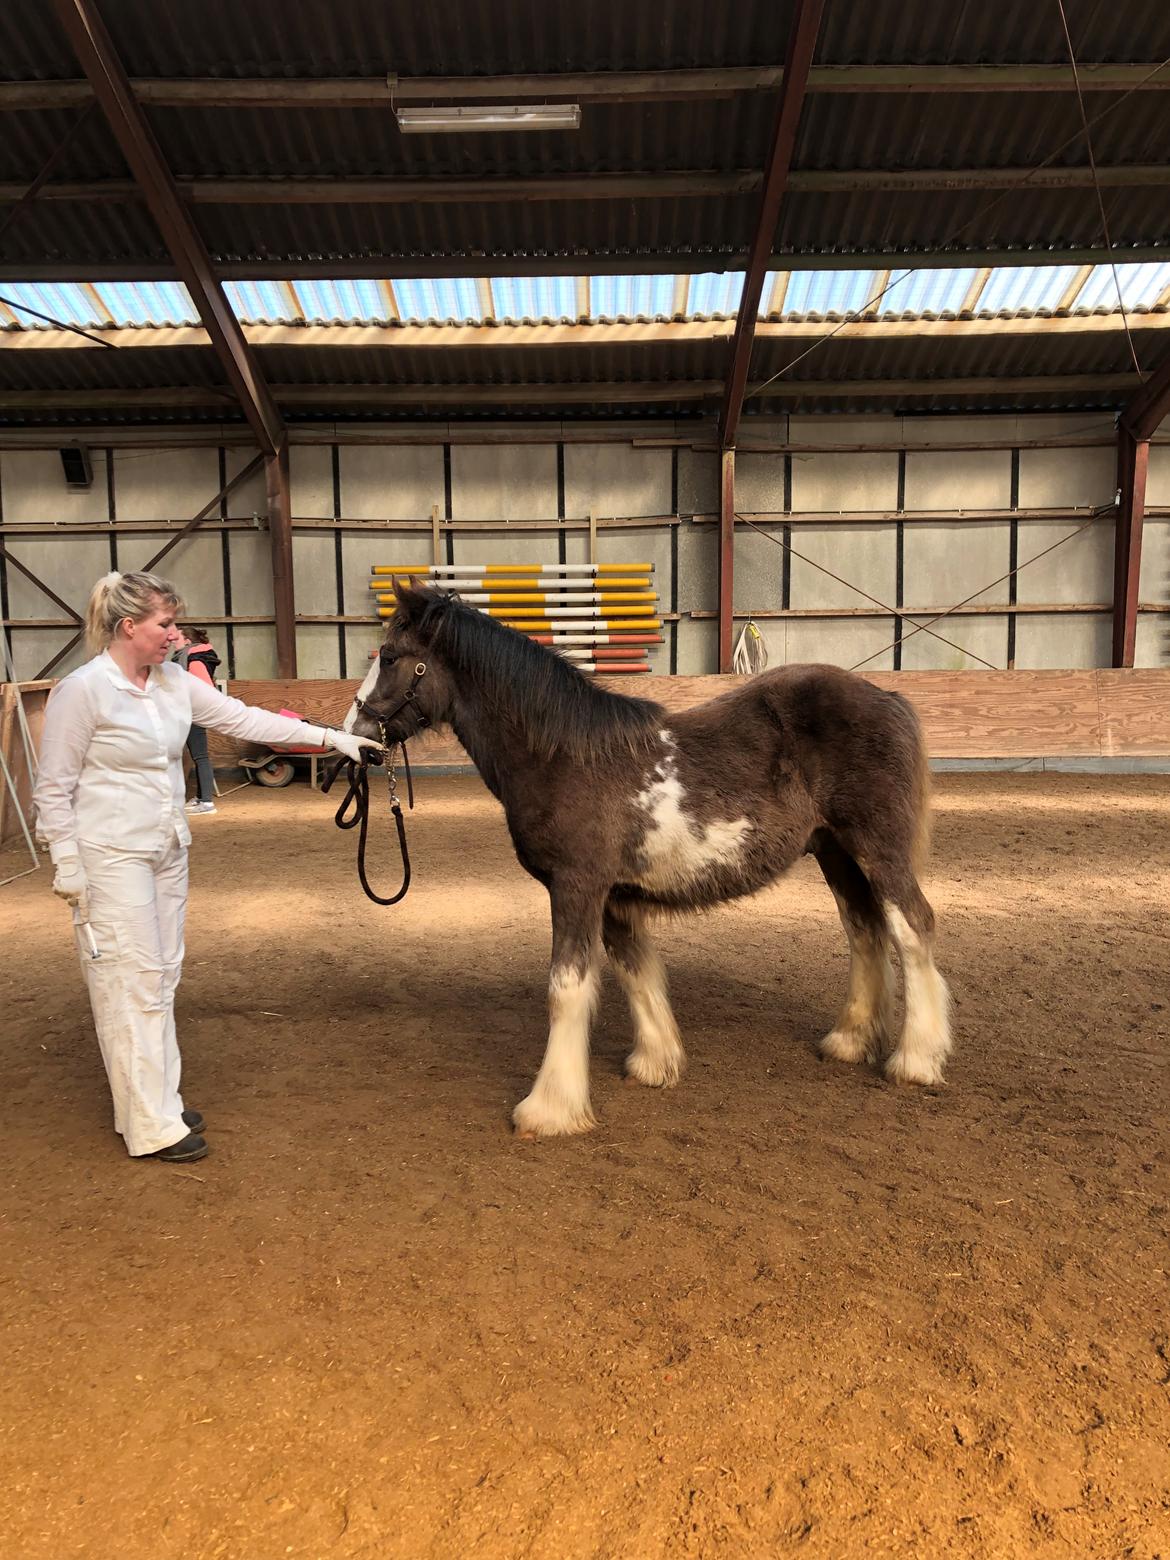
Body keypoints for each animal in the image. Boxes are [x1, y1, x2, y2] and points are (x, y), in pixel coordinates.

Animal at [347, 583, 954, 1135]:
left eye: (392, 657)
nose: (357, 736)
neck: (562, 756)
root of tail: (887, 697)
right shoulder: (616, 897)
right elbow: (635, 971)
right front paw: (655, 1063)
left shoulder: (577, 887)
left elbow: (566, 988)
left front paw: (549, 1109)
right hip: (837, 854)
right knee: (865, 931)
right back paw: (848, 1042)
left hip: (878, 850)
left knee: (912, 928)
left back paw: (916, 1060)